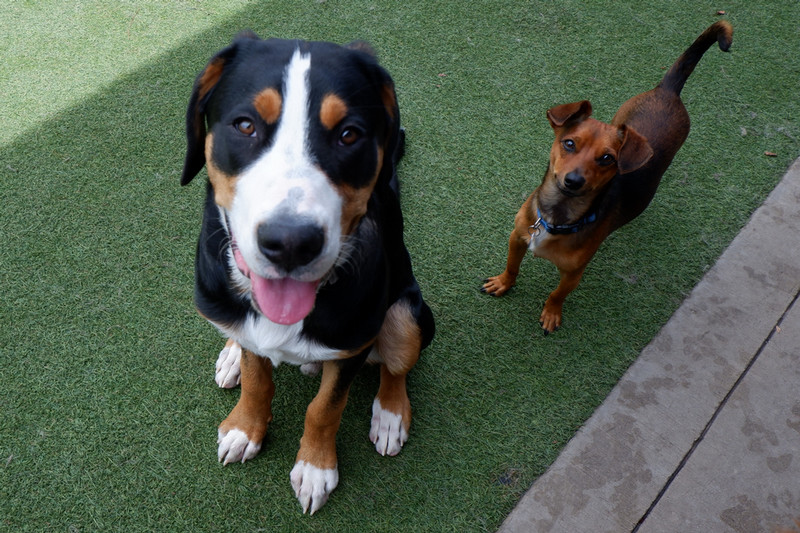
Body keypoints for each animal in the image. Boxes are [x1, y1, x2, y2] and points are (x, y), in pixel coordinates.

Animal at [180, 34, 434, 516]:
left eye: (349, 134)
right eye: (245, 126)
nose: (290, 242)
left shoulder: (353, 344)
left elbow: (325, 408)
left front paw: (316, 468)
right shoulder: (250, 330)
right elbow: (258, 379)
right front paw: (245, 428)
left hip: (409, 310)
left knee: (397, 365)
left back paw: (390, 416)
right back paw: (231, 355)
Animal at [482, 22, 732, 334]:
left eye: (606, 159)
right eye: (569, 143)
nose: (574, 180)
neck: (556, 217)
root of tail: (668, 91)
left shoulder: (573, 274)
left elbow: (557, 294)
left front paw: (552, 313)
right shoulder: (517, 238)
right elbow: (512, 266)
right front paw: (504, 282)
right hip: (619, 117)